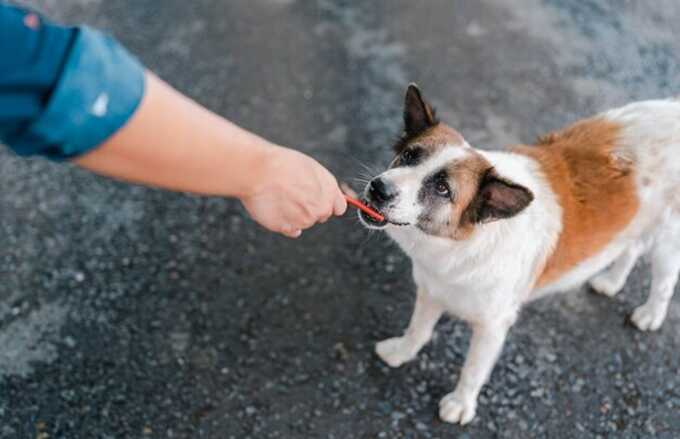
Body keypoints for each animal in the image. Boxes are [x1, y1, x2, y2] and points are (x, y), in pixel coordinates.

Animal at [358, 85, 680, 426]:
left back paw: (650, 315)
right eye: (409, 156)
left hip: (668, 241)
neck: (465, 242)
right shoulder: (433, 290)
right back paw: (611, 281)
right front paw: (401, 352)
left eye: (443, 188)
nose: (378, 188)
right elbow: (418, 329)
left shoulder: (493, 326)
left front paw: (461, 404)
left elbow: (473, 370)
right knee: (631, 247)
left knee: (664, 282)